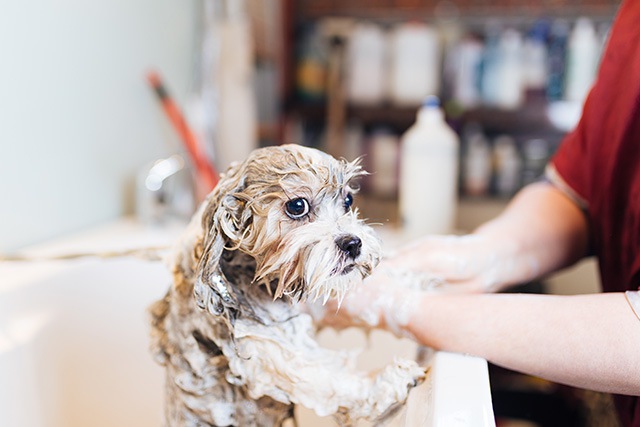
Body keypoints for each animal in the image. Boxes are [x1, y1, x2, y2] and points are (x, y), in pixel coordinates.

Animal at [149, 145, 424, 427]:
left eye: (347, 200)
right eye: (297, 206)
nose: (353, 243)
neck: (254, 276)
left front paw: (412, 278)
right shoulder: (259, 347)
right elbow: (324, 378)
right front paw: (389, 382)